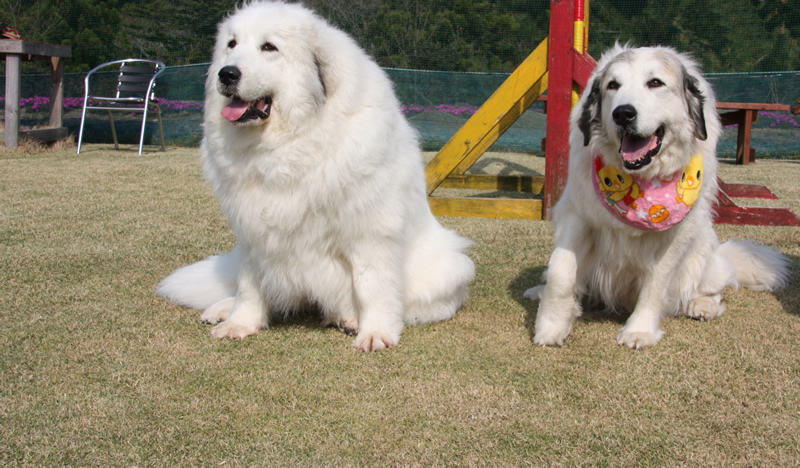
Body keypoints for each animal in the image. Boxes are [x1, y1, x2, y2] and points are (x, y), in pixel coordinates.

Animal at [155, 0, 476, 352]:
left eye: (269, 47)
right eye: (232, 45)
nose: (226, 73)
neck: (291, 140)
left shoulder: (370, 230)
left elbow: (373, 285)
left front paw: (376, 332)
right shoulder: (252, 229)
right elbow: (249, 284)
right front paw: (241, 322)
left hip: (448, 265)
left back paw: (348, 319)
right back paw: (222, 309)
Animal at [524, 44, 788, 348]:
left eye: (655, 83)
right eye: (613, 85)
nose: (623, 113)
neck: (640, 184)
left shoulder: (674, 236)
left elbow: (656, 282)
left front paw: (640, 329)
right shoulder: (576, 216)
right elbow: (561, 272)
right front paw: (551, 324)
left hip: (705, 255)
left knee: (715, 287)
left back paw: (702, 306)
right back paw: (539, 290)